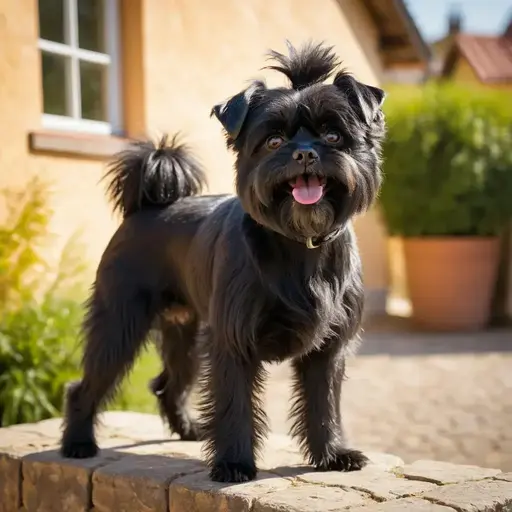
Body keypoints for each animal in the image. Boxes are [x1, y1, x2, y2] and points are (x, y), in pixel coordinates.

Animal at [60, 42, 386, 482]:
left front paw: (332, 454)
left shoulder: (327, 351)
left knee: (168, 384)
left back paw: (187, 430)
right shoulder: (233, 343)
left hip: (186, 336)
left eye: (334, 135)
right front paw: (233, 463)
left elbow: (323, 405)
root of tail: (146, 207)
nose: (304, 152)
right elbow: (235, 404)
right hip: (119, 326)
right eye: (273, 140)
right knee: (85, 386)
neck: (301, 246)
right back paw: (77, 443)